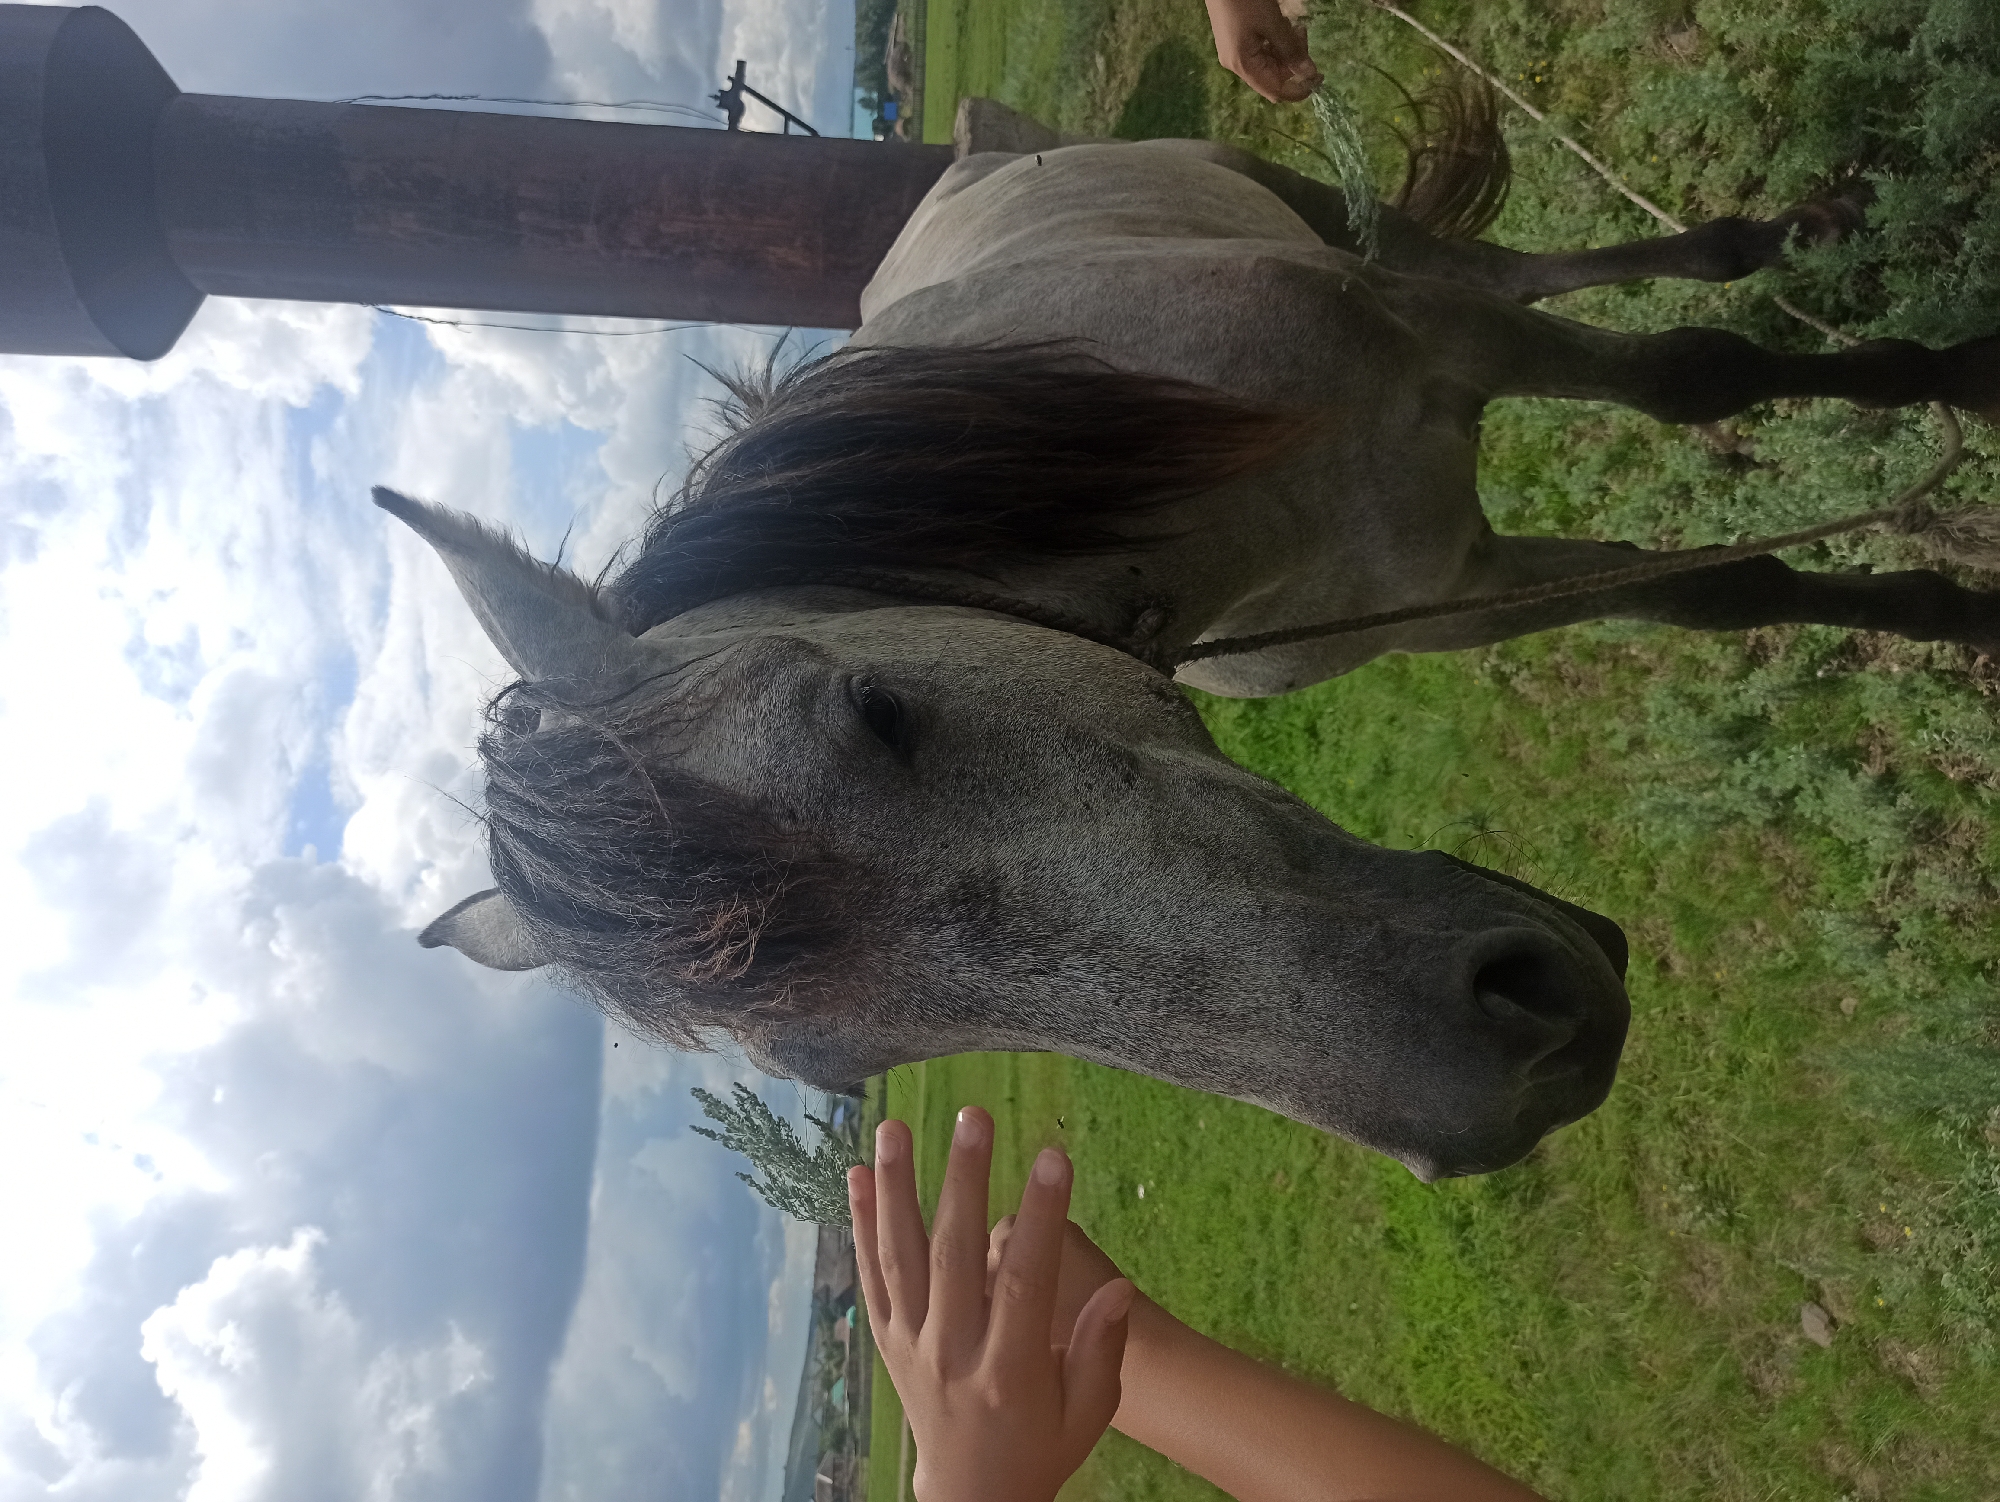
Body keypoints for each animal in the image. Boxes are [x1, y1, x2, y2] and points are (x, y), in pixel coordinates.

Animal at [376, 91, 2000, 1181]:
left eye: (874, 710)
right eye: (851, 1058)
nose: (1512, 1072)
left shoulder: (1449, 352)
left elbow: (1695, 381)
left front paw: (1957, 431)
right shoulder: (1461, 583)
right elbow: (1713, 593)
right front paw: (1943, 607)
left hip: (1301, 203)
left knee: (1507, 268)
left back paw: (1767, 239)